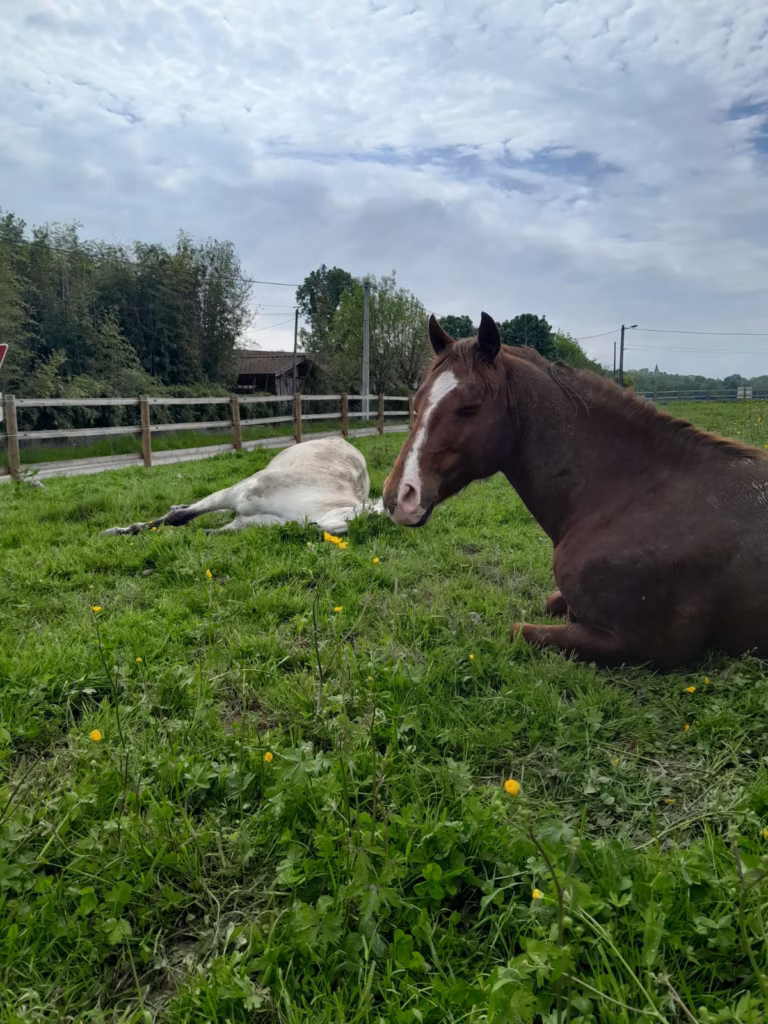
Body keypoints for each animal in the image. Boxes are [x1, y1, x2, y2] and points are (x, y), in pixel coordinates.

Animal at [103, 436, 384, 536]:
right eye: (363, 516)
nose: (318, 528)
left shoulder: (243, 521)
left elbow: (215, 529)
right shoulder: (238, 492)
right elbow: (179, 518)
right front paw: (119, 530)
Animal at [382, 312, 768, 670]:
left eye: (470, 406)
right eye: (417, 400)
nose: (398, 496)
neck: (631, 499)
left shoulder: (641, 645)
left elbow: (517, 630)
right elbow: (551, 602)